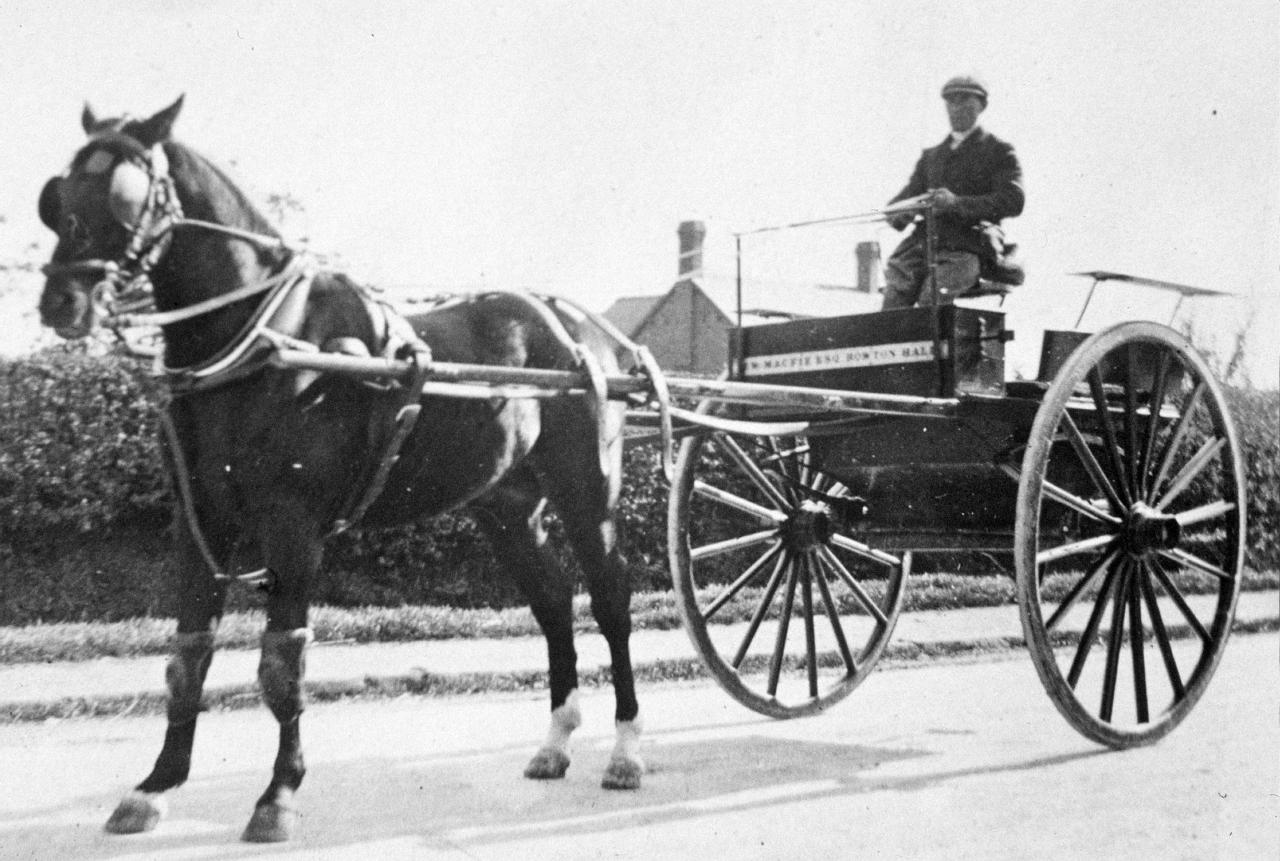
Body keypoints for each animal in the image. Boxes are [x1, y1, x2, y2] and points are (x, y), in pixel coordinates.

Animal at [37, 96, 644, 843]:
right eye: (60, 193)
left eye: (123, 191)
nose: (61, 301)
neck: (264, 342)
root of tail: (580, 328)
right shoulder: (199, 521)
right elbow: (189, 655)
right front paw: (156, 785)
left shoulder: (293, 525)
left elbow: (282, 662)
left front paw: (278, 795)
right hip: (506, 506)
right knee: (554, 602)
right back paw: (555, 743)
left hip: (589, 492)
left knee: (611, 600)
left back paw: (625, 751)